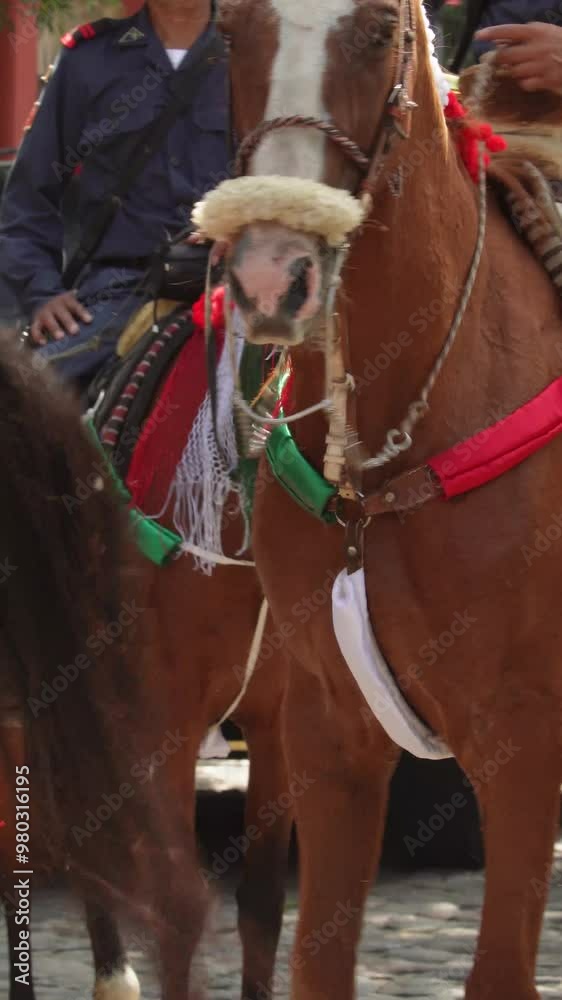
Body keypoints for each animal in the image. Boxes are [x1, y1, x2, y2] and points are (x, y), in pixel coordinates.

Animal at [191, 1, 562, 997]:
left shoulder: (523, 740)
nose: (273, 274)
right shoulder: (329, 729)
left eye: (376, 30)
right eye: (231, 29)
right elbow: (316, 961)